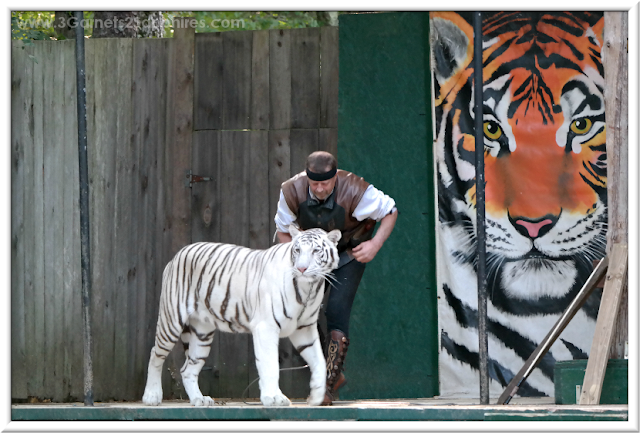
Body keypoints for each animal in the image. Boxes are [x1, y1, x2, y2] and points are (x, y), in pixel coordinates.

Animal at [140, 226, 340, 404]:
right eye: (297, 250)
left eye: (315, 251)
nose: (301, 269)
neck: (309, 289)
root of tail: (177, 255)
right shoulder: (266, 327)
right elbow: (270, 364)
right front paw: (273, 398)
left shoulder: (304, 329)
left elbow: (319, 361)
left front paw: (317, 395)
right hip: (171, 321)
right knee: (155, 355)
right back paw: (151, 396)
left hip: (202, 334)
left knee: (188, 369)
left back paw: (199, 399)